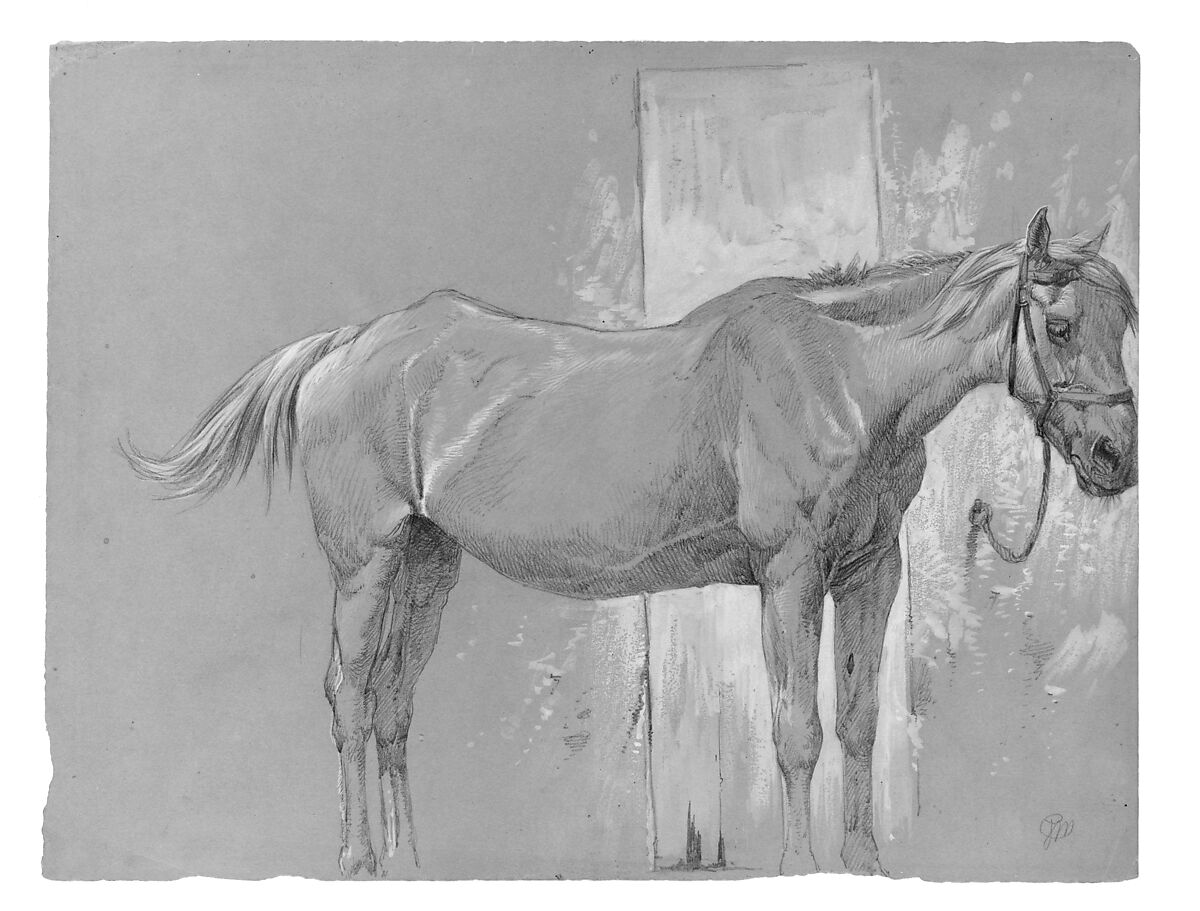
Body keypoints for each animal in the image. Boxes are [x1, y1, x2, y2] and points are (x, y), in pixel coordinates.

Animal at [124, 207, 1137, 878]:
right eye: (1058, 325)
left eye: (1123, 323)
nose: (1114, 456)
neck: (841, 375)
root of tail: (345, 344)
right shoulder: (791, 577)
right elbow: (797, 730)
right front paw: (803, 867)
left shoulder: (870, 573)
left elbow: (857, 718)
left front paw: (863, 861)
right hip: (364, 567)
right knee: (347, 696)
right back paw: (358, 857)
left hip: (426, 567)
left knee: (392, 705)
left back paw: (411, 863)